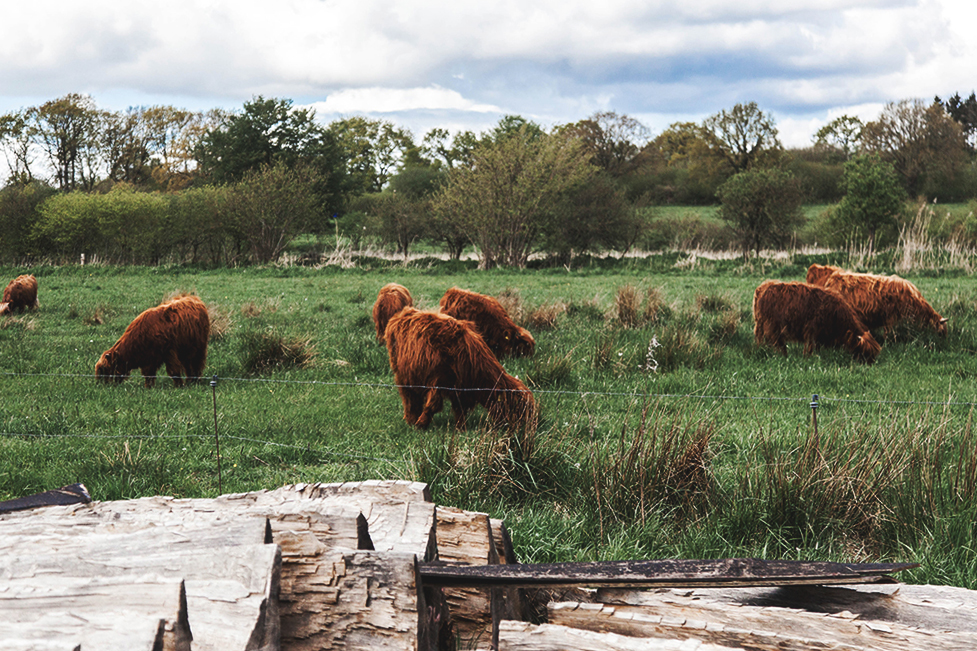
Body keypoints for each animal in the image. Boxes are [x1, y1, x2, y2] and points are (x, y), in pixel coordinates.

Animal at [384, 308, 532, 430]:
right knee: (409, 397)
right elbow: (433, 405)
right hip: (402, 373)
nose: (522, 428)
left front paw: (461, 428)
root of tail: (403, 313)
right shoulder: (439, 380)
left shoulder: (460, 388)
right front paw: (421, 424)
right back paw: (411, 419)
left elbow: (459, 408)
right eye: (515, 406)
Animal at [752, 278, 880, 364]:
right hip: (770, 326)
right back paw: (779, 354)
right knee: (773, 341)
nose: (870, 365)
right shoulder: (811, 329)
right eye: (864, 352)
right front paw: (808, 358)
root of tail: (763, 287)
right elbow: (810, 346)